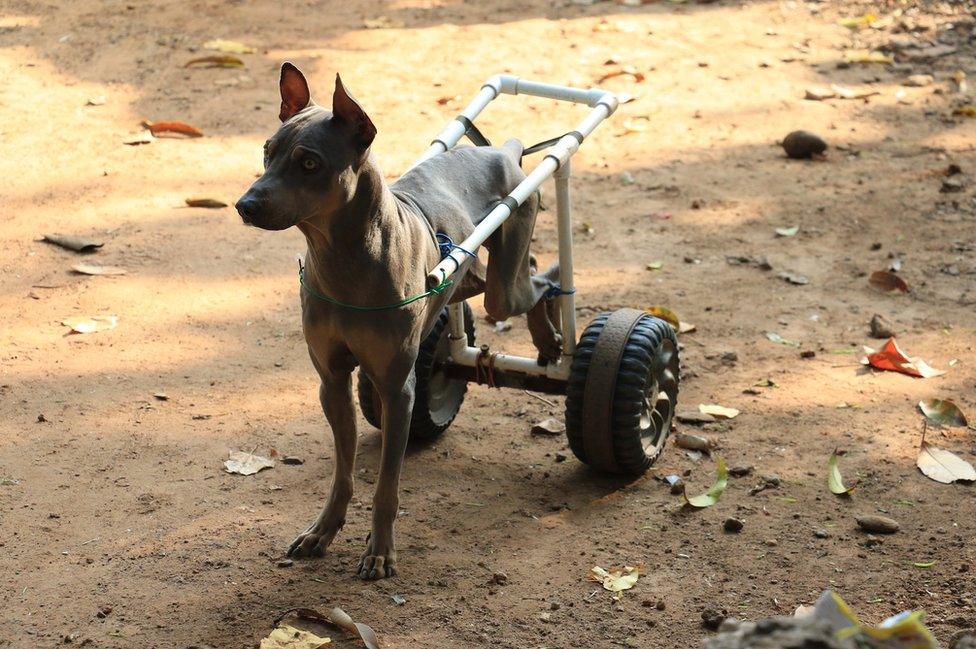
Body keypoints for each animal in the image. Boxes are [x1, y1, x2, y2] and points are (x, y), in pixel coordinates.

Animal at [233, 62, 560, 576]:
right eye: (267, 152)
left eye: (309, 163)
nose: (244, 205)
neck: (342, 259)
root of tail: (501, 151)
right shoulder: (332, 381)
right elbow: (343, 473)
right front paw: (323, 531)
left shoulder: (396, 388)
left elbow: (386, 484)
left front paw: (380, 551)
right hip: (465, 277)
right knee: (508, 275)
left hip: (506, 281)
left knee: (538, 283)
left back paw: (549, 337)